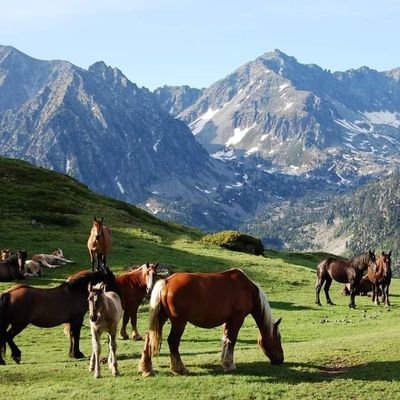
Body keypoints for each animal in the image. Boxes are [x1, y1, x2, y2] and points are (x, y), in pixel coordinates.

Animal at [139, 268, 282, 376]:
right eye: (278, 338)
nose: (281, 359)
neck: (248, 290)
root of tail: (167, 281)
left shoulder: (228, 321)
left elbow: (226, 340)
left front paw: (224, 362)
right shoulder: (237, 319)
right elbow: (232, 340)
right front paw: (230, 365)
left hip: (161, 318)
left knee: (149, 338)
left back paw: (147, 368)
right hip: (179, 322)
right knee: (173, 341)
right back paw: (179, 369)